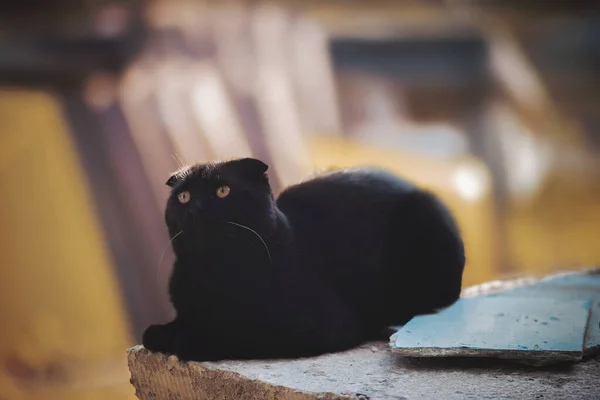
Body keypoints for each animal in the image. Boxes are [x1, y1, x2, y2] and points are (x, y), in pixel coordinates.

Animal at [142, 159, 464, 362]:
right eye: (183, 196)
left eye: (223, 191)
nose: (194, 208)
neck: (212, 273)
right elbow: (162, 328)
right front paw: (163, 332)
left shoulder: (317, 325)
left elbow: (237, 333)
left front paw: (185, 341)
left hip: (428, 217)